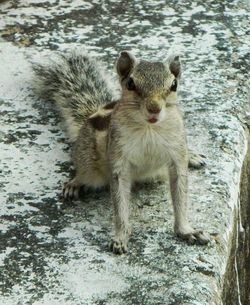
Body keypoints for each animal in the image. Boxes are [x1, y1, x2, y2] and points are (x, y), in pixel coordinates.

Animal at [33, 50, 209, 254]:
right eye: (131, 83)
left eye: (174, 85)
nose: (154, 108)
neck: (149, 129)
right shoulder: (119, 161)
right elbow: (120, 203)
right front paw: (120, 237)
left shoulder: (177, 154)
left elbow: (180, 194)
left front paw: (187, 231)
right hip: (89, 165)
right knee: (85, 174)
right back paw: (74, 183)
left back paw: (193, 156)